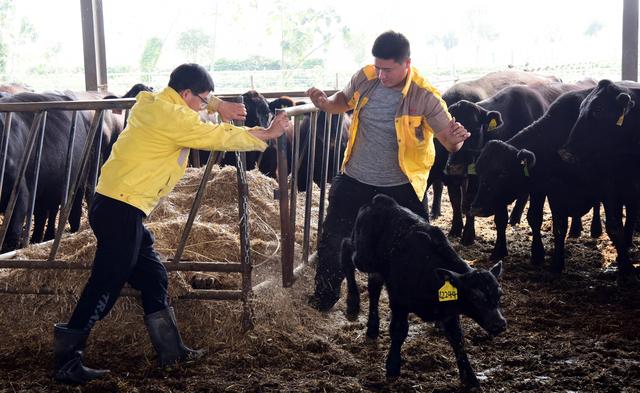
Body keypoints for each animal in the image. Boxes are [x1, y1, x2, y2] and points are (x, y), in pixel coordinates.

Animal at [340, 194, 504, 390]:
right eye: (474, 297)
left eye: (499, 295)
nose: (500, 323)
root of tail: (381, 200)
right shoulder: (399, 302)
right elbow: (399, 331)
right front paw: (393, 367)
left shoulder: (449, 312)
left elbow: (458, 340)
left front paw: (470, 378)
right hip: (363, 255)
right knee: (346, 247)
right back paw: (353, 303)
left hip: (377, 265)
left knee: (374, 285)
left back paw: (372, 328)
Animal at [470, 87, 600, 268]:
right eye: (479, 171)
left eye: (502, 172)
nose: (476, 208)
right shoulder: (543, 188)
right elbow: (533, 218)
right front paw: (533, 254)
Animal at [556, 79, 636, 278]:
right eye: (580, 109)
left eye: (598, 111)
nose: (565, 153)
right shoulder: (611, 184)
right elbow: (614, 226)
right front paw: (625, 268)